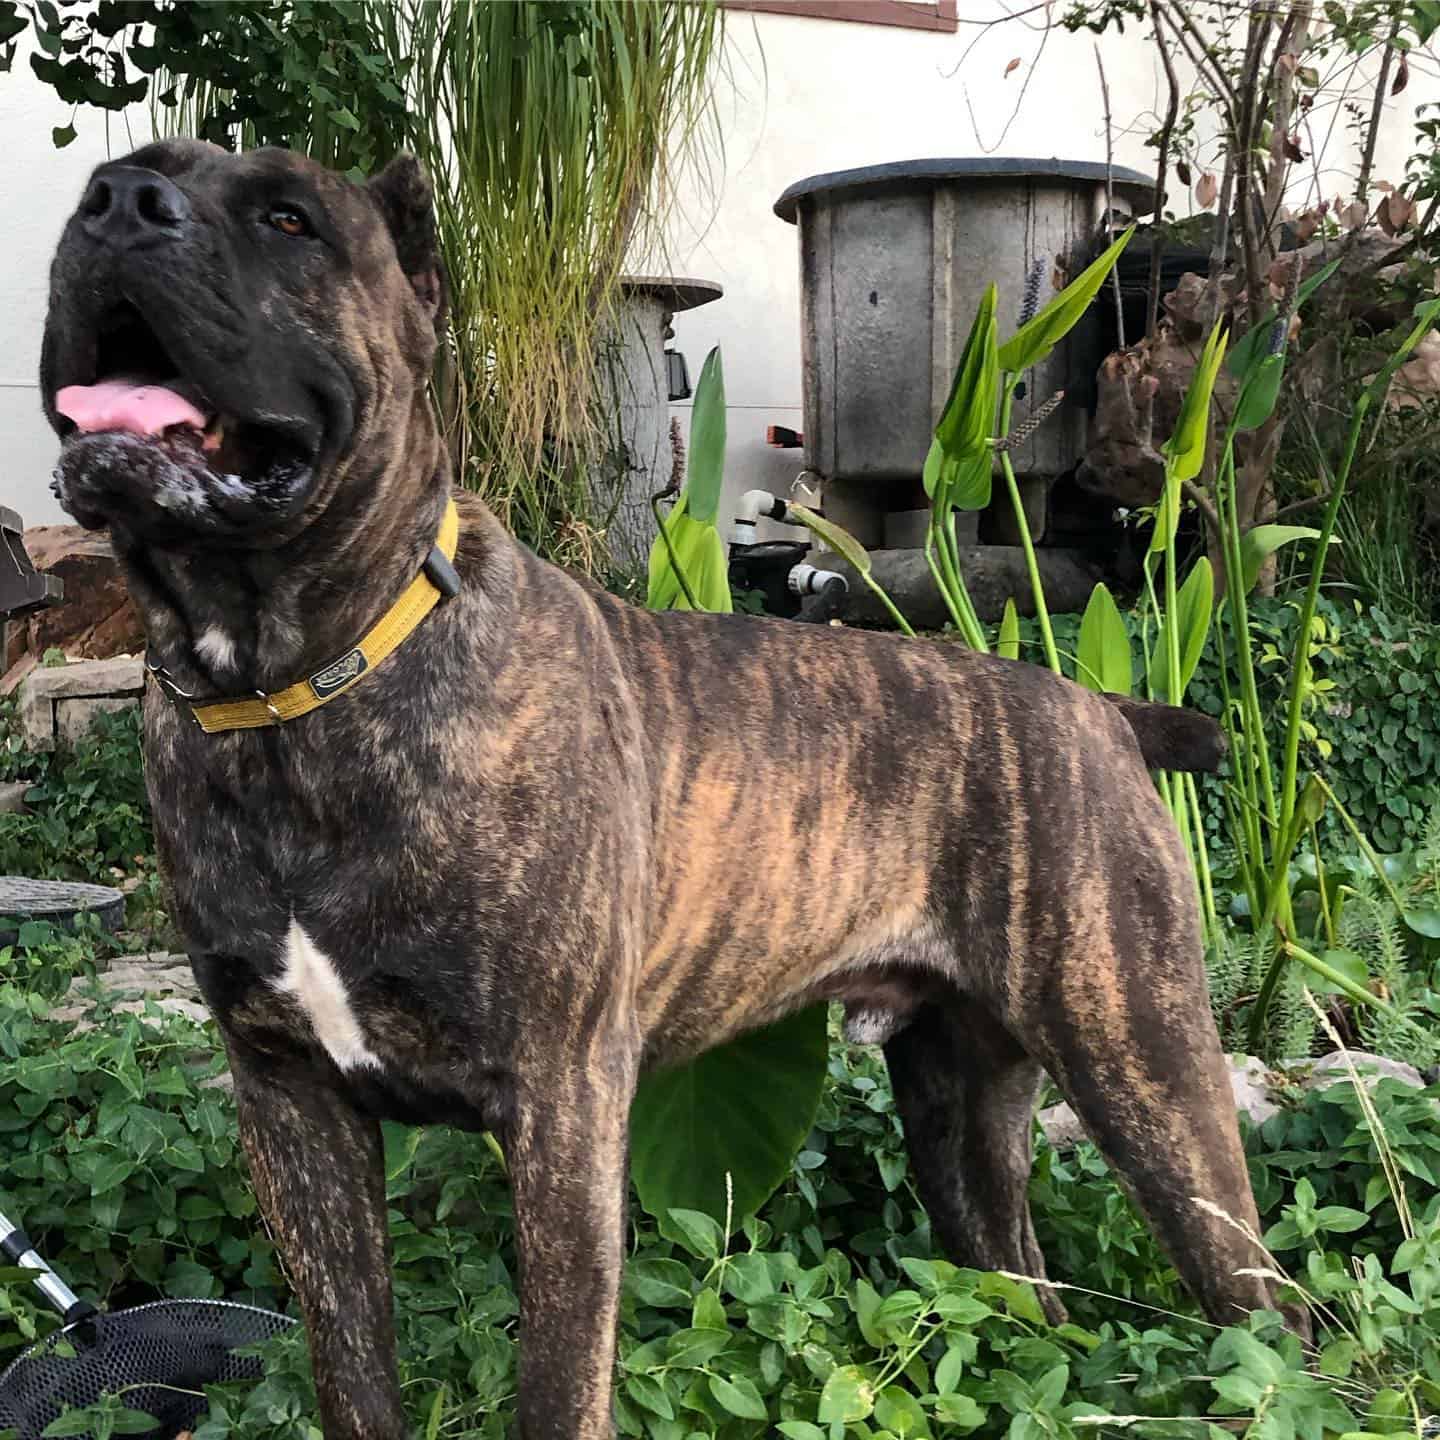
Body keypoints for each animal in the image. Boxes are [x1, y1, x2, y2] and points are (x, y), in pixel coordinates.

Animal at [42, 143, 1284, 1440]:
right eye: (107, 187)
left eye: (289, 219)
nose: (118, 209)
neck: (294, 688)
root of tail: (1102, 709)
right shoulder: (294, 1108)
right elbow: (353, 1369)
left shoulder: (561, 1115)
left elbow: (556, 1384)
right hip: (961, 1104)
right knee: (1022, 1290)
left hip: (1149, 1073)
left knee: (1276, 1320)